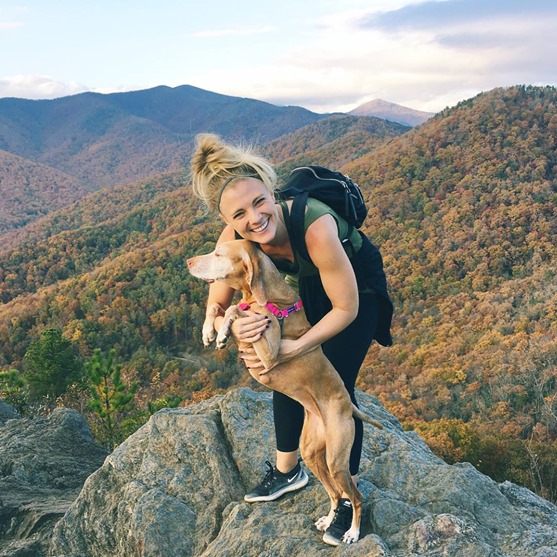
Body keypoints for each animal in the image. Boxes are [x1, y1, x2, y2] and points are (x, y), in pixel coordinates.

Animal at [187, 239, 382, 544]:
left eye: (218, 254)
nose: (188, 262)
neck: (268, 297)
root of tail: (347, 405)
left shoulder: (268, 351)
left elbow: (236, 309)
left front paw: (226, 328)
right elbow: (220, 308)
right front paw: (212, 332)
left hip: (337, 458)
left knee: (356, 496)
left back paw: (350, 531)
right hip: (312, 453)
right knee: (334, 493)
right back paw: (328, 519)